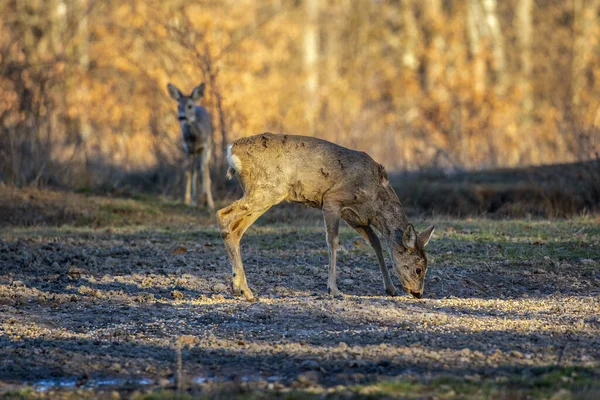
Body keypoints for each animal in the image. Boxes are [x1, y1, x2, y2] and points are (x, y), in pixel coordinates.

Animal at [168, 83, 214, 211]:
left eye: (189, 106)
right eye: (178, 105)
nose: (182, 117)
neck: (195, 139)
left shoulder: (204, 147)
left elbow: (203, 170)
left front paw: (206, 201)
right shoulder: (188, 149)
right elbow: (190, 171)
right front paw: (191, 200)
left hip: (209, 148)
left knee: (205, 168)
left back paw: (208, 200)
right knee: (195, 170)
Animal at [218, 133, 434, 302]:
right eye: (418, 269)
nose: (418, 293)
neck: (375, 198)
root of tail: (231, 151)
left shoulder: (356, 217)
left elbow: (376, 243)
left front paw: (390, 289)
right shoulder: (332, 200)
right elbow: (333, 241)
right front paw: (334, 289)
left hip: (264, 195)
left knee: (237, 230)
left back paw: (239, 287)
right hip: (266, 190)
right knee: (223, 215)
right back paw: (246, 291)